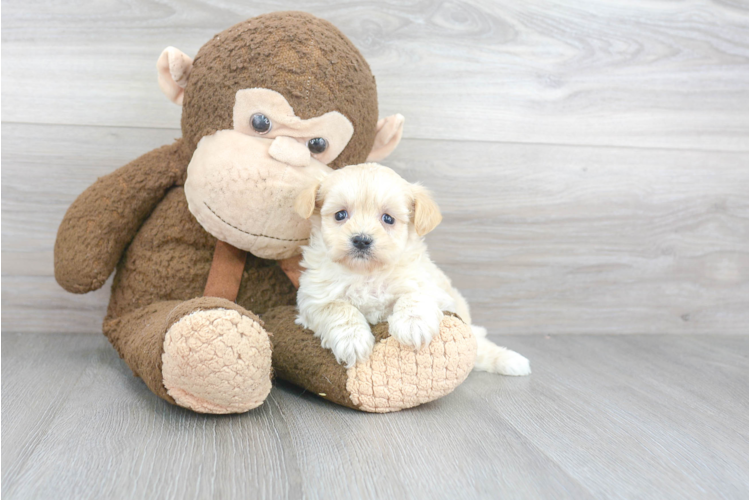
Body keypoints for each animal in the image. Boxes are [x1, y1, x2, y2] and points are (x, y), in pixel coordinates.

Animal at [296, 163, 532, 376]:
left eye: (388, 218)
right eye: (340, 215)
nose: (361, 240)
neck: (367, 274)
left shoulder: (431, 287)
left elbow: (414, 296)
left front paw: (413, 325)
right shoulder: (314, 300)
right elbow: (339, 308)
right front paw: (353, 340)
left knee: (481, 348)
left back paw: (513, 361)